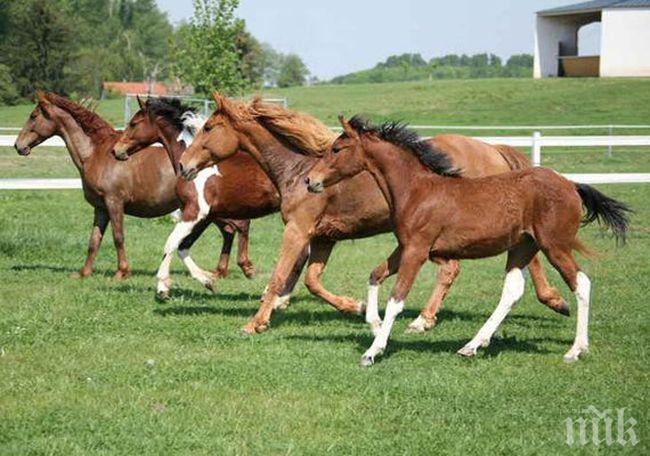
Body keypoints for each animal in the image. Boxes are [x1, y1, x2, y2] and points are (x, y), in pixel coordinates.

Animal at [13, 91, 251, 280]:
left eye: (33, 116)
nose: (18, 145)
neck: (96, 153)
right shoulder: (100, 208)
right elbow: (94, 241)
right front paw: (84, 273)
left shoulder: (114, 203)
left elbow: (118, 237)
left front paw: (121, 272)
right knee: (230, 230)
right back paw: (221, 271)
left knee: (240, 226)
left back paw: (242, 267)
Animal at [112, 97, 278, 298]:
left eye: (134, 123)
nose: (116, 150)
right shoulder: (205, 216)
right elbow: (183, 247)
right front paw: (208, 281)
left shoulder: (195, 212)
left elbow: (171, 243)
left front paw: (162, 288)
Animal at [180, 93, 564, 334]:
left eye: (209, 128)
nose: (183, 165)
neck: (298, 168)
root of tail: (494, 149)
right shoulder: (323, 237)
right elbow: (311, 280)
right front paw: (357, 308)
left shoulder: (299, 231)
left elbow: (279, 276)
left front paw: (255, 323)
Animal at [306, 116, 632, 366]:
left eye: (336, 149)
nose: (310, 181)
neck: (417, 190)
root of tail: (571, 185)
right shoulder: (405, 247)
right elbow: (375, 276)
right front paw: (372, 323)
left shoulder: (417, 250)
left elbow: (397, 299)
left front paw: (373, 351)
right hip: (522, 246)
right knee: (513, 289)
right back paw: (473, 345)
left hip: (555, 244)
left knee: (581, 283)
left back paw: (575, 350)